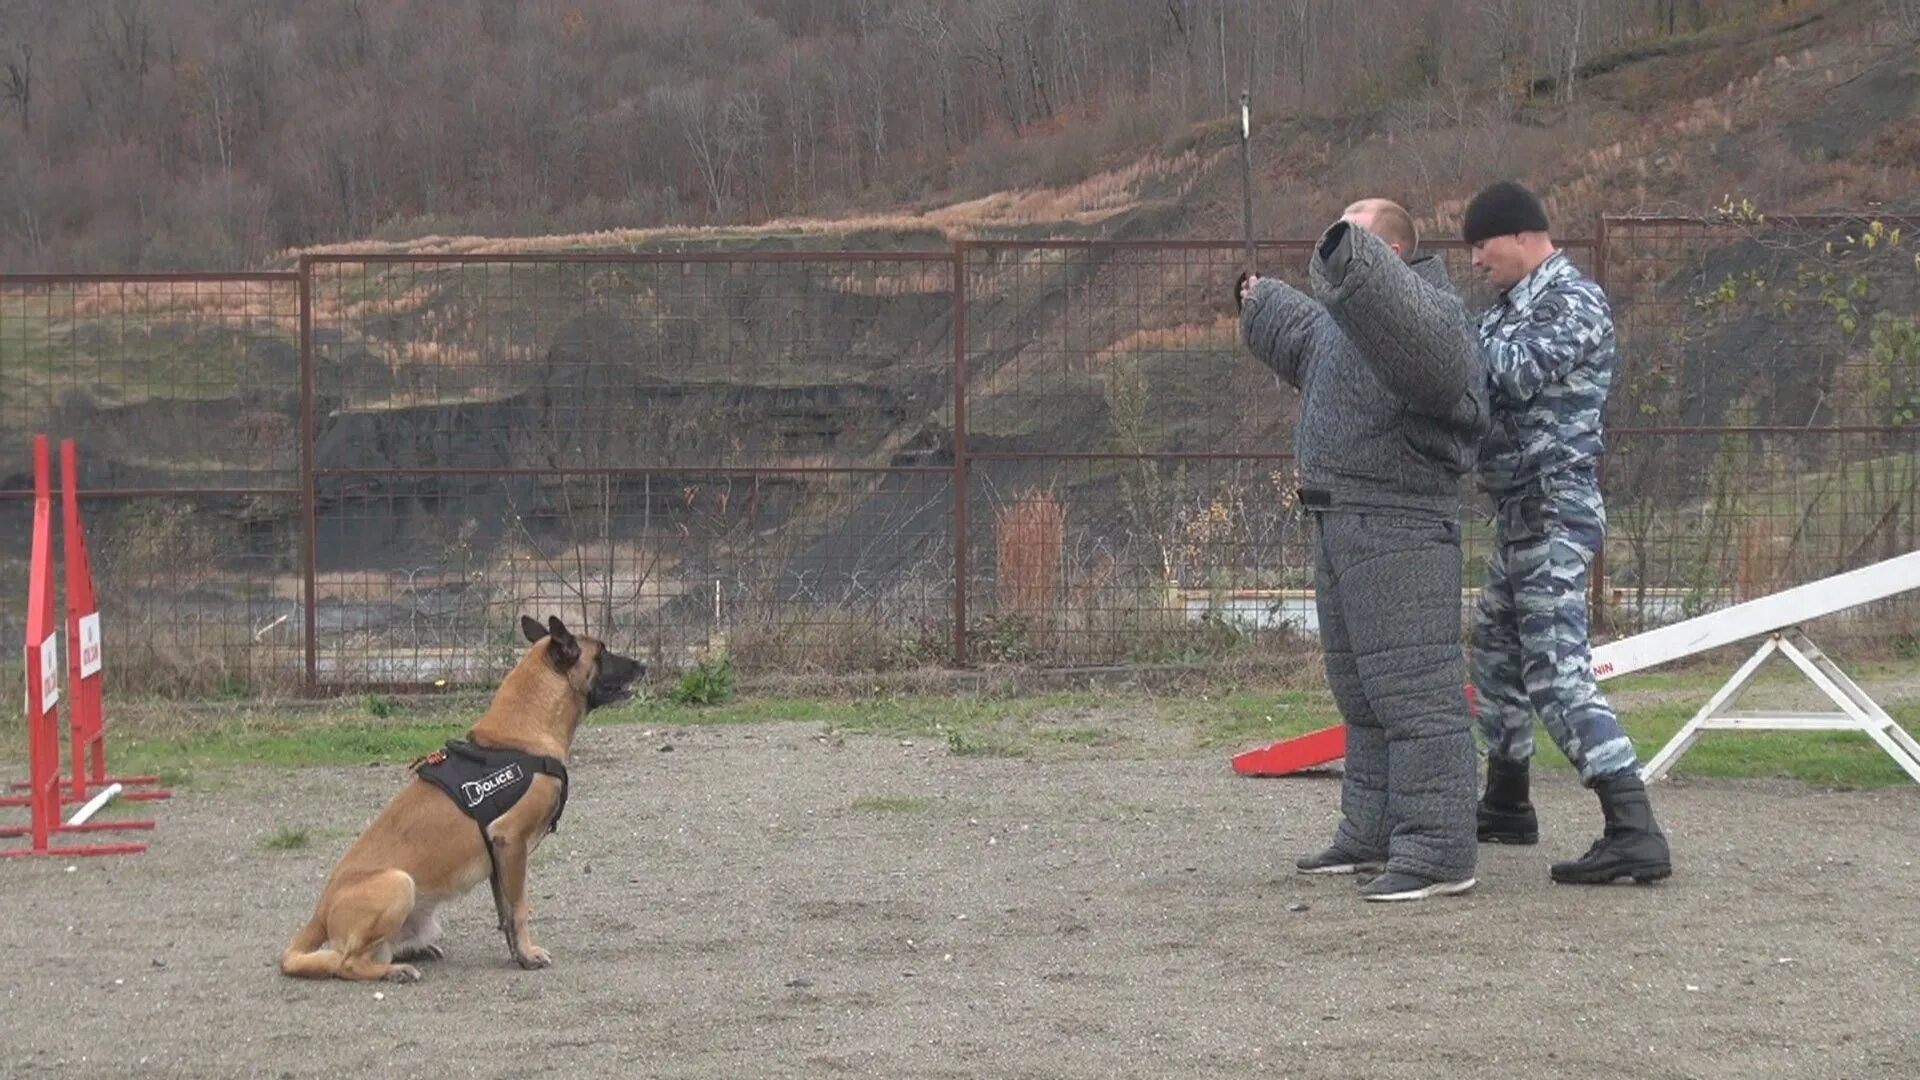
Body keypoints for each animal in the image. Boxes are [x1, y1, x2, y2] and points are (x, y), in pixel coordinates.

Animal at [280, 611, 645, 980]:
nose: (642, 665)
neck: (520, 737)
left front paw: (517, 954)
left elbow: (506, 913)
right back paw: (394, 971)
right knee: (346, 962)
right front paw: (528, 954)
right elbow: (520, 908)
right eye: (602, 652)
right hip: (399, 883)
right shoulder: (512, 842)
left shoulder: (500, 858)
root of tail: (320, 912)